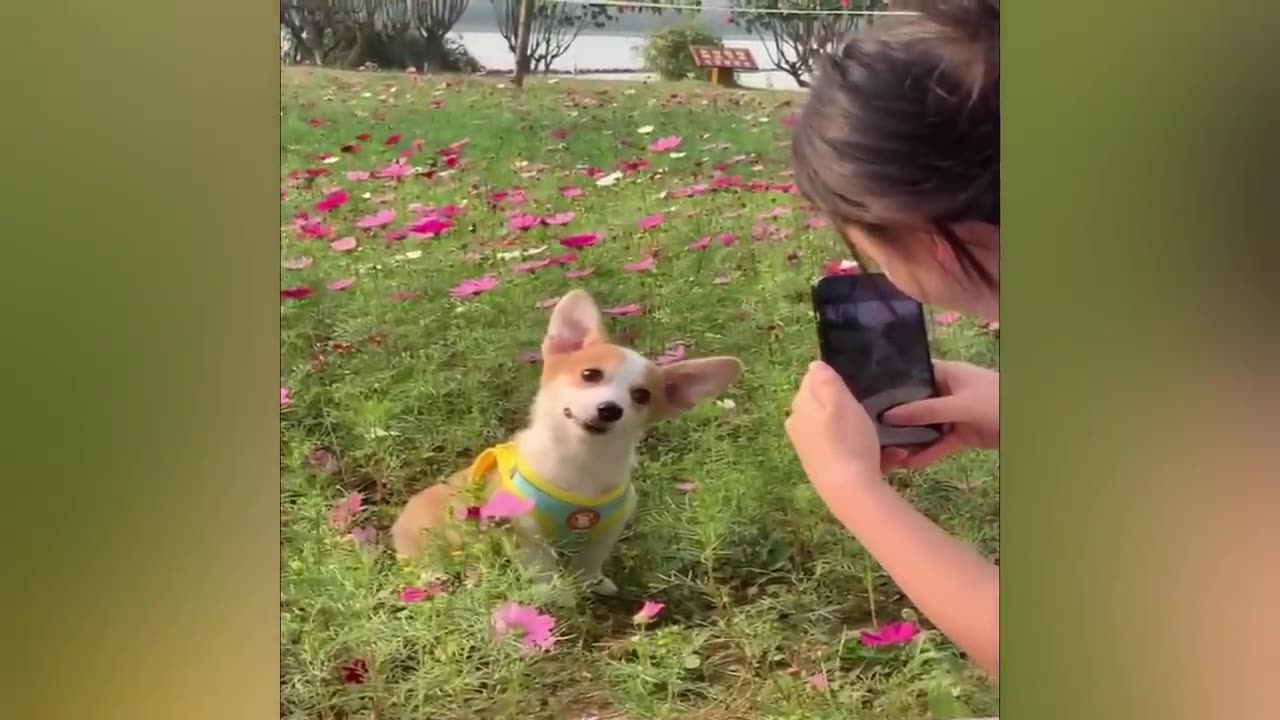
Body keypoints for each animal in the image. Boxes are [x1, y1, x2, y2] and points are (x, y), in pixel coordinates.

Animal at [389, 288, 742, 591]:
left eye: (642, 396)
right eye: (590, 375)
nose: (610, 409)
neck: (581, 460)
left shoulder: (608, 528)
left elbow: (590, 560)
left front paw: (591, 583)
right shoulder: (523, 531)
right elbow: (541, 566)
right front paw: (553, 595)